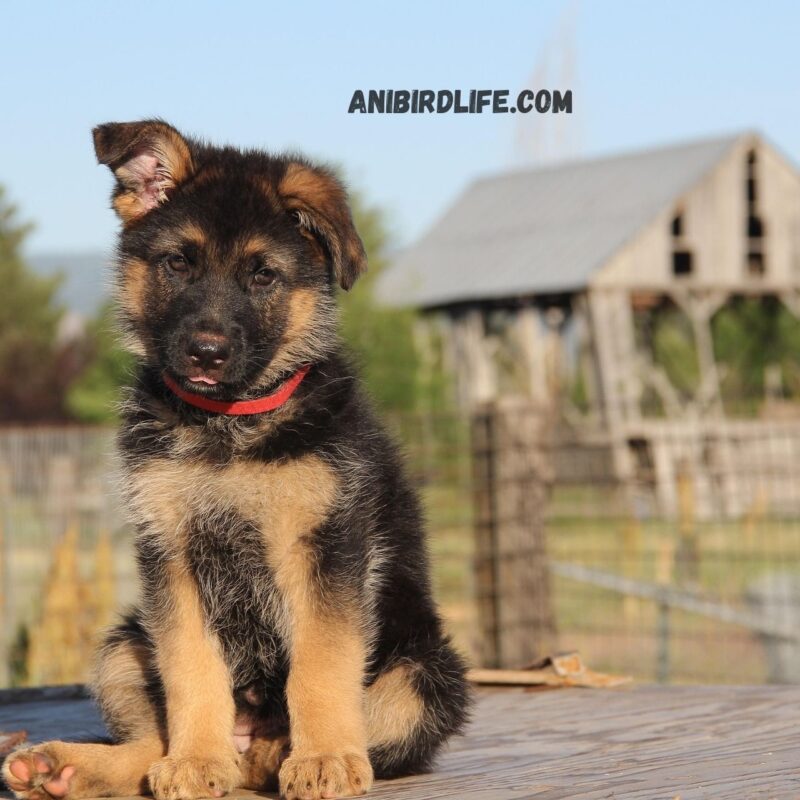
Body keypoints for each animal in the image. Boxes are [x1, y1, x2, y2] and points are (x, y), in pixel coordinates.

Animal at [3, 120, 468, 800]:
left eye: (263, 276)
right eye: (178, 263)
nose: (206, 352)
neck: (228, 428)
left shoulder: (326, 548)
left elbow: (321, 666)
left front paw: (324, 757)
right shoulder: (170, 554)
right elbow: (191, 670)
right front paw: (198, 760)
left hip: (425, 672)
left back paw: (281, 753)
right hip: (122, 647)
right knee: (147, 746)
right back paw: (67, 767)